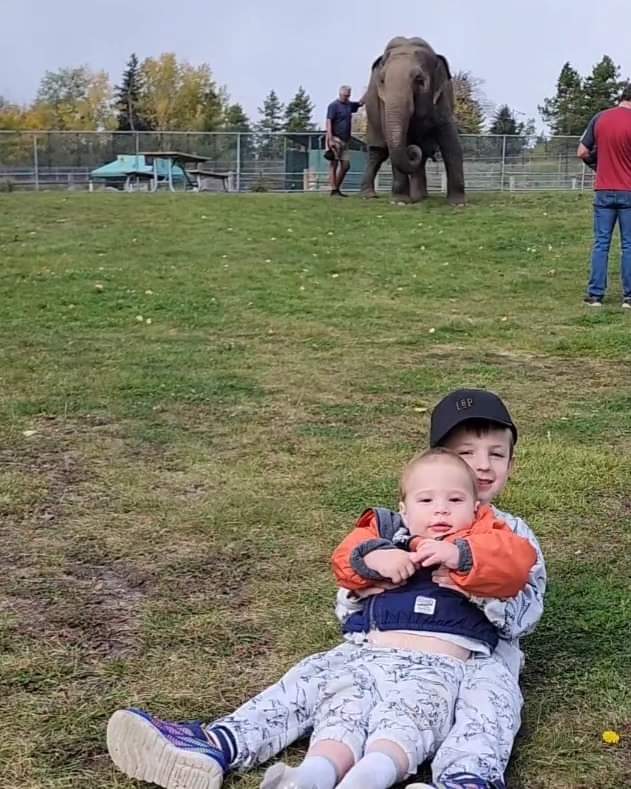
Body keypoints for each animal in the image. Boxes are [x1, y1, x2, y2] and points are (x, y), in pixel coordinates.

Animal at [360, 37, 464, 205]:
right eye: (382, 80)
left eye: (419, 80)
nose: (411, 151)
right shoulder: (383, 104)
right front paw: (400, 202)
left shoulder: (442, 100)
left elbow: (451, 144)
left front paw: (458, 203)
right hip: (372, 116)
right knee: (378, 152)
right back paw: (368, 196)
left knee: (423, 153)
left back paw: (419, 197)